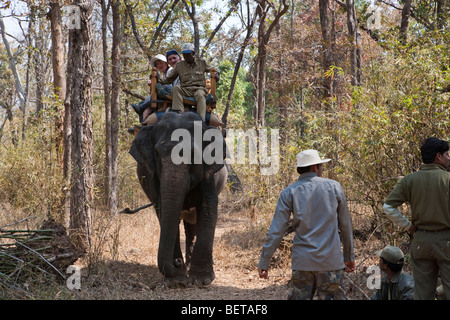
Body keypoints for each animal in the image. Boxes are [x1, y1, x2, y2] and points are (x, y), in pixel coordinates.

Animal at [129, 112, 229, 288]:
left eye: (193, 155)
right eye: (157, 154)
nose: (176, 262)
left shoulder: (210, 175)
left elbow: (208, 210)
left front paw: (202, 280)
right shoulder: (153, 178)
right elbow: (164, 212)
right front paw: (177, 280)